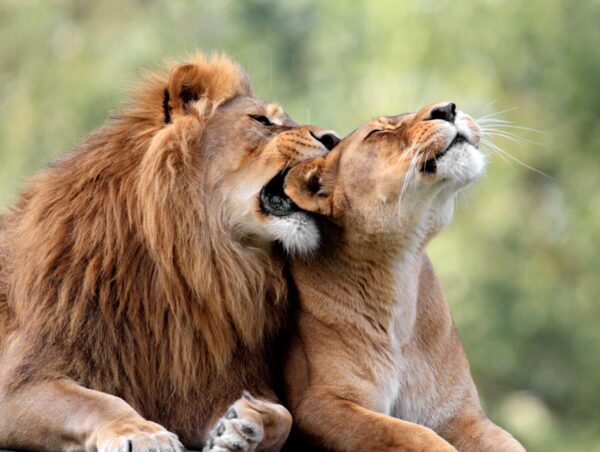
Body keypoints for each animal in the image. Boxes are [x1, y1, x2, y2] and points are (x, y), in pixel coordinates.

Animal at [0, 53, 340, 452]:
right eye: (261, 120)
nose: (335, 139)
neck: (195, 260)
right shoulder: (22, 378)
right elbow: (95, 402)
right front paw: (143, 432)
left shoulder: (204, 385)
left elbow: (284, 416)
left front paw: (244, 426)